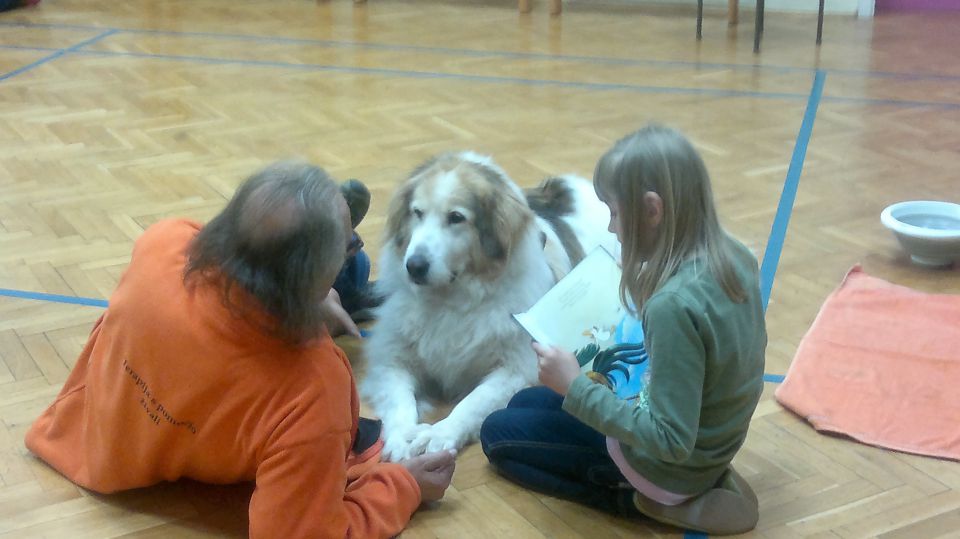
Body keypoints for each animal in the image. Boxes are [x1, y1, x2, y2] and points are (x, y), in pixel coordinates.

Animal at [360, 153, 616, 464]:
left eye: (456, 218)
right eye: (417, 213)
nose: (414, 266)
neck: (453, 299)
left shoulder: (518, 370)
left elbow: (474, 401)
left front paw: (440, 432)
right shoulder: (391, 359)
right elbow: (401, 399)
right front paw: (401, 437)